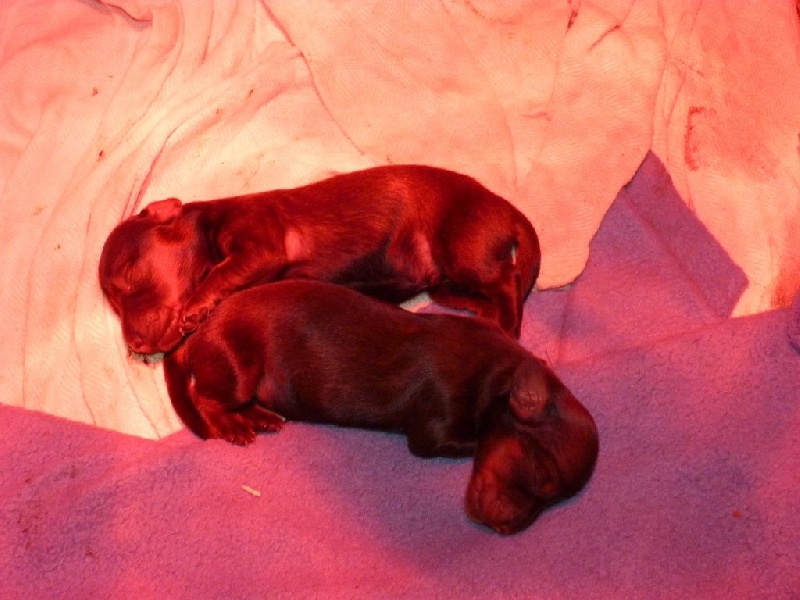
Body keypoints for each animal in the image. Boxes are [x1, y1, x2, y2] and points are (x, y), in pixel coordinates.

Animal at [99, 164, 540, 355]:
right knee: (482, 294)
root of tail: (505, 207)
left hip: (462, 249)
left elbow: (220, 274)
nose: (134, 345)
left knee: (508, 280)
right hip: (445, 284)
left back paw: (506, 327)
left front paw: (194, 307)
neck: (211, 218)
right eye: (112, 304)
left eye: (129, 276)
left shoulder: (260, 244)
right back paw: (489, 321)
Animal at [162, 280, 598, 535]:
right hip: (238, 367)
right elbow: (469, 439)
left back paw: (260, 417)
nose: (508, 529)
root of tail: (197, 335)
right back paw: (233, 425)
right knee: (206, 398)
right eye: (539, 474)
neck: (500, 371)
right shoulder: (432, 430)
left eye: (554, 501)